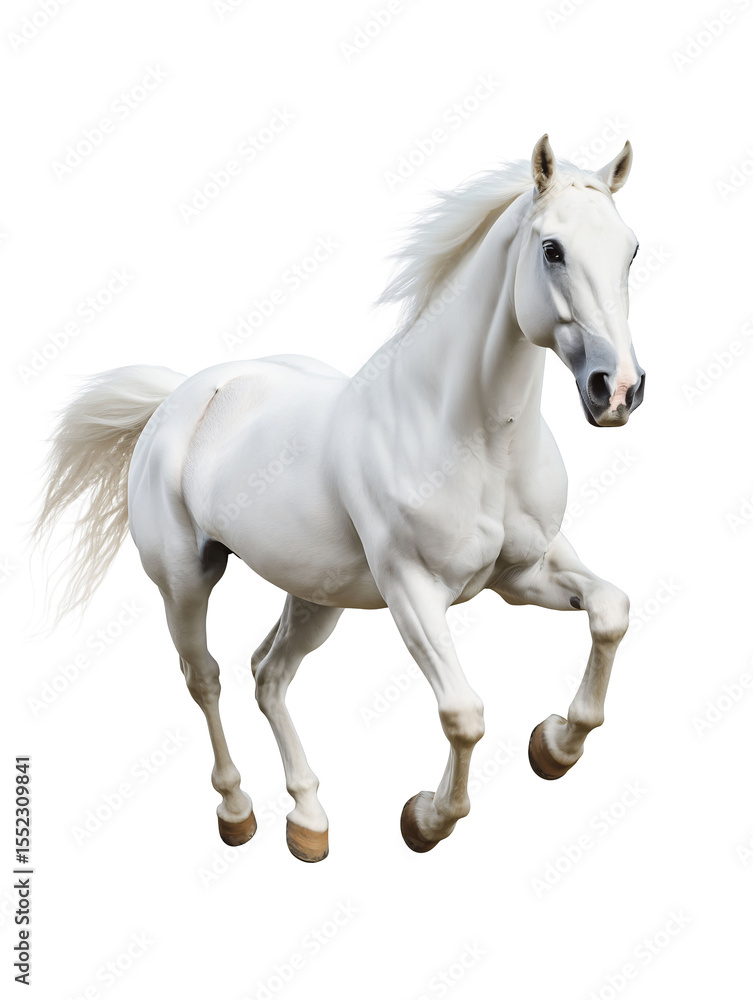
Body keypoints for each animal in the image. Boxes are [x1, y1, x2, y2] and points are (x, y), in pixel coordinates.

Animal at [35, 135, 644, 863]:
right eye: (552, 249)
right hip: (184, 582)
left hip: (315, 596)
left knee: (268, 674)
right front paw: (426, 820)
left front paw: (554, 747)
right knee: (204, 676)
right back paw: (238, 812)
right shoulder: (414, 591)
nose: (618, 390)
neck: (471, 438)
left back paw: (308, 822)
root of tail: (182, 397)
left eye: (630, 249)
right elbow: (463, 714)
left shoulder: (525, 573)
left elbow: (611, 611)